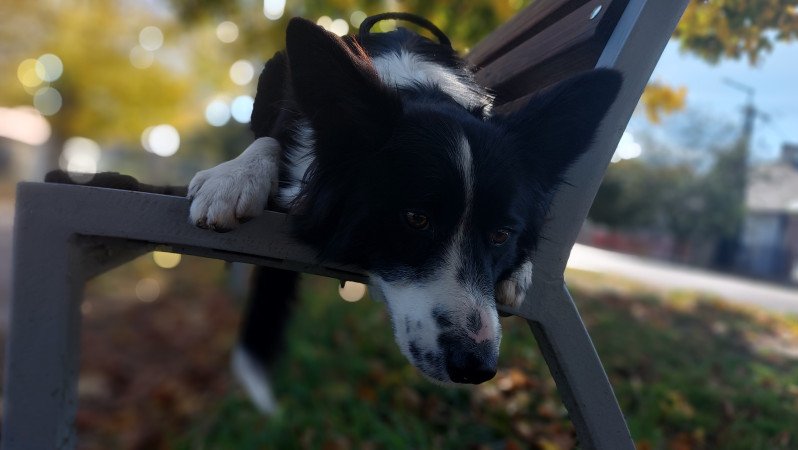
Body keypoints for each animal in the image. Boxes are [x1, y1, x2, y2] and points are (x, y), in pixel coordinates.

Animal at [188, 14, 624, 414]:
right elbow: (270, 141)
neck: (419, 89)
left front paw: (520, 270)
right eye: (416, 219)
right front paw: (233, 177)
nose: (476, 368)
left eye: (502, 235)